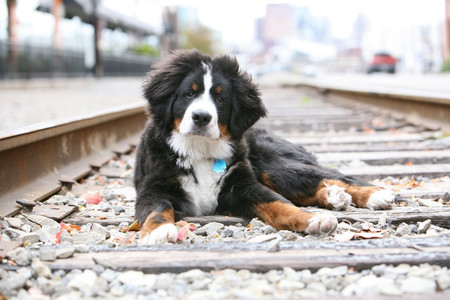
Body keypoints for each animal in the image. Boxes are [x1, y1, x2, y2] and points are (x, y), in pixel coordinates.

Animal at [133, 49, 394, 244]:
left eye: (220, 98)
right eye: (188, 93)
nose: (201, 117)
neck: (200, 150)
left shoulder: (243, 185)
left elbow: (280, 204)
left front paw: (313, 220)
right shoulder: (154, 187)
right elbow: (157, 208)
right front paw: (159, 231)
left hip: (272, 165)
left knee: (331, 176)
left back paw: (374, 195)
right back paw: (333, 196)